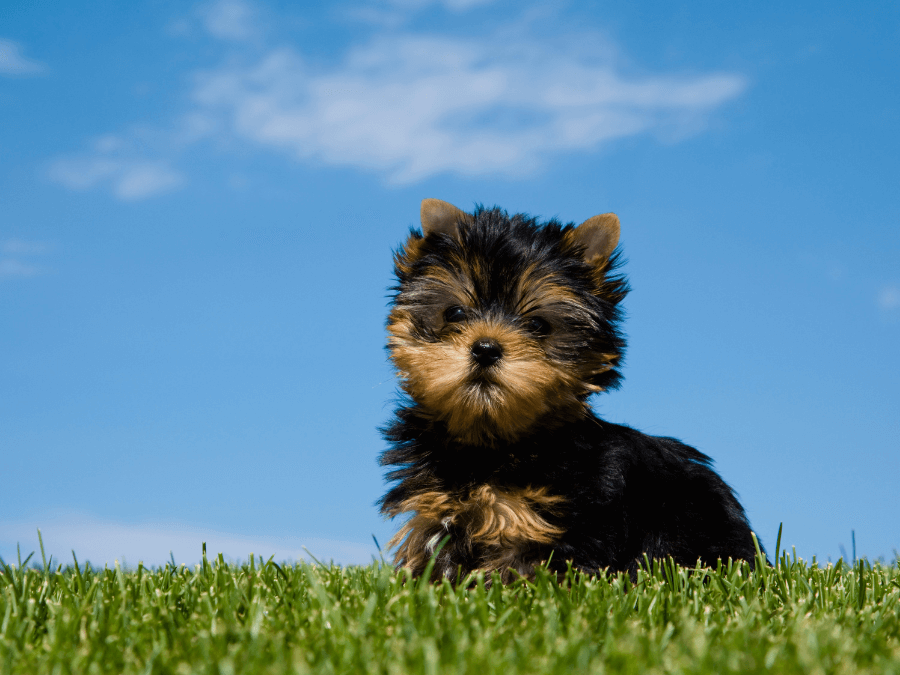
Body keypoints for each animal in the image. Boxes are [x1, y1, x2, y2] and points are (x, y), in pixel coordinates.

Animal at [376, 199, 764, 580]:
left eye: (538, 325)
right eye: (454, 313)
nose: (485, 348)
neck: (492, 442)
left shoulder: (547, 527)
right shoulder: (438, 512)